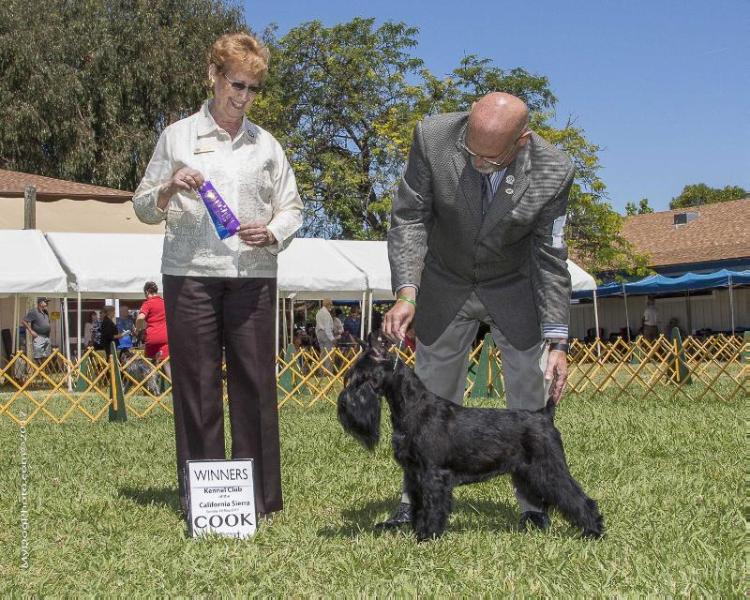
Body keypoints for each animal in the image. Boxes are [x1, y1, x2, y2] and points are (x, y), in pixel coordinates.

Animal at [340, 336, 604, 540]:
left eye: (361, 377)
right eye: (349, 376)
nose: (344, 402)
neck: (413, 407)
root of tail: (544, 414)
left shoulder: (433, 474)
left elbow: (432, 505)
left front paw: (427, 535)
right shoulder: (414, 473)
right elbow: (418, 504)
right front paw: (418, 529)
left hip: (549, 468)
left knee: (577, 497)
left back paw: (593, 531)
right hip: (528, 474)